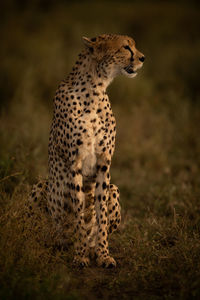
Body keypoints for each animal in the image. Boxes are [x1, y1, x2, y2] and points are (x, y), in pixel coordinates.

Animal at [28, 34, 145, 268]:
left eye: (134, 46)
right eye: (125, 47)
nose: (143, 58)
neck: (95, 89)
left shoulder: (103, 163)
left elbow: (100, 215)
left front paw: (103, 254)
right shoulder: (75, 163)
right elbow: (79, 211)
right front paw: (80, 255)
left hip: (114, 189)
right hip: (41, 187)